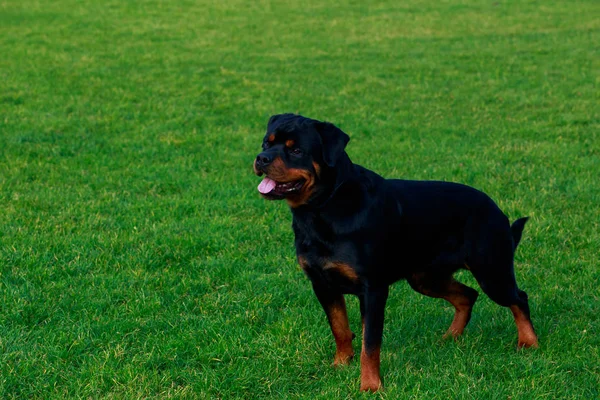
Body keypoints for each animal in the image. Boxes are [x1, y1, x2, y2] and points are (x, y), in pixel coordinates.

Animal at [253, 114, 540, 392]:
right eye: (266, 143)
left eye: (297, 150)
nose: (261, 158)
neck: (324, 208)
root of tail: (497, 209)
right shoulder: (323, 284)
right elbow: (340, 328)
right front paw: (341, 364)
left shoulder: (373, 289)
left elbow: (370, 343)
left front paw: (370, 386)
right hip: (425, 277)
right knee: (468, 295)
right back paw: (450, 338)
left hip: (491, 271)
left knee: (518, 298)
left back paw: (529, 343)